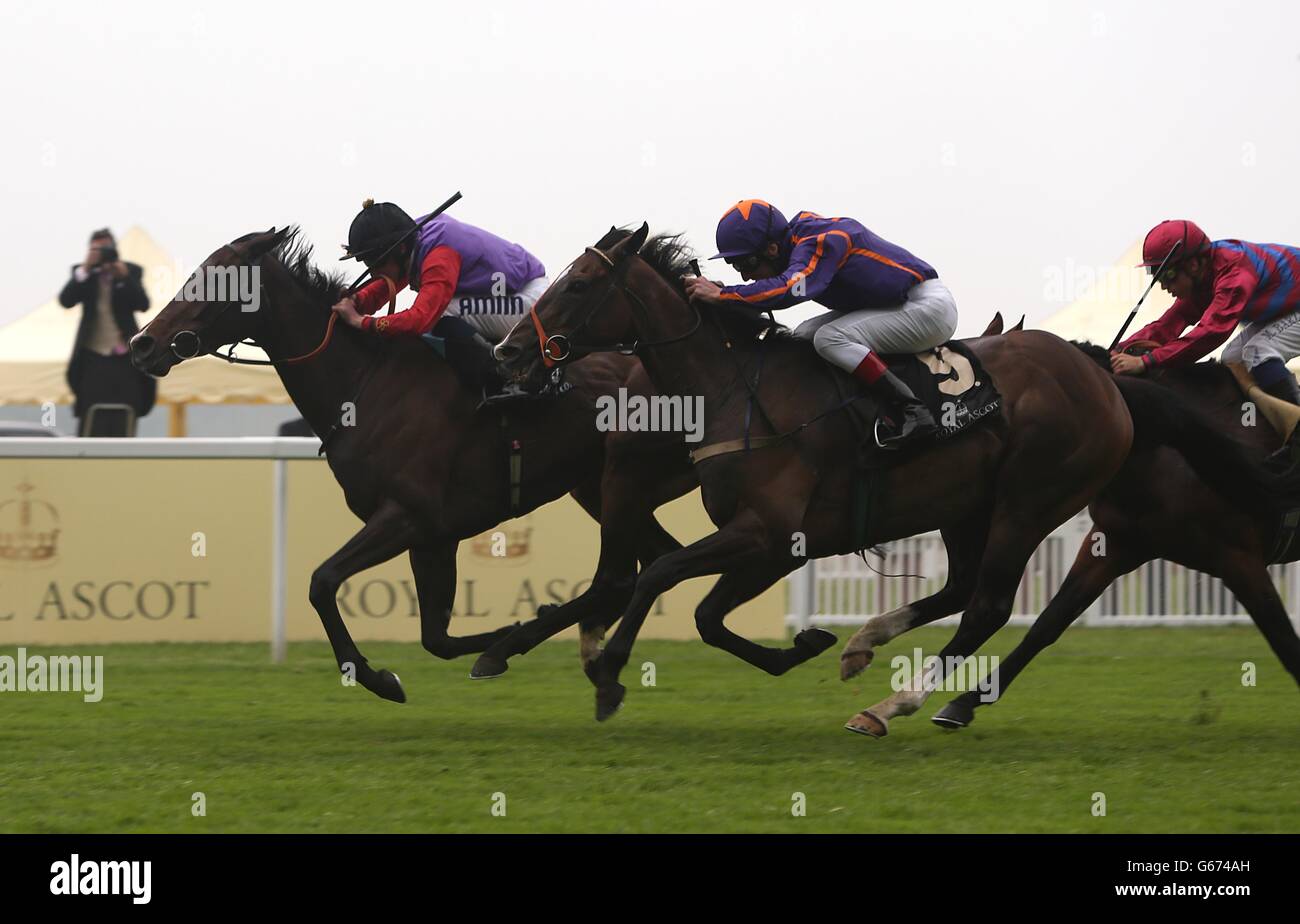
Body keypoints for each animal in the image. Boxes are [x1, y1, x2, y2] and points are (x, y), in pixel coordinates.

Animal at [129, 230, 702, 701]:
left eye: (214, 280)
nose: (142, 343)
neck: (365, 383)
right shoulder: (433, 536)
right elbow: (436, 638)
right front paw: (497, 637)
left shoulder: (406, 515)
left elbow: (322, 581)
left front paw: (378, 677)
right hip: (601, 489)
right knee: (653, 561)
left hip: (620, 482)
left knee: (624, 575)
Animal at [493, 223, 1289, 727]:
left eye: (581, 282)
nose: (508, 351)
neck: (731, 388)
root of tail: (1101, 374)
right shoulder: (774, 544)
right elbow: (704, 614)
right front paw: (803, 647)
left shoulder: (769, 533)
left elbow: (664, 581)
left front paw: (608, 675)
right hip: (969, 507)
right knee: (964, 590)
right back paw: (865, 646)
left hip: (1031, 502)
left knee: (988, 607)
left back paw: (892, 705)